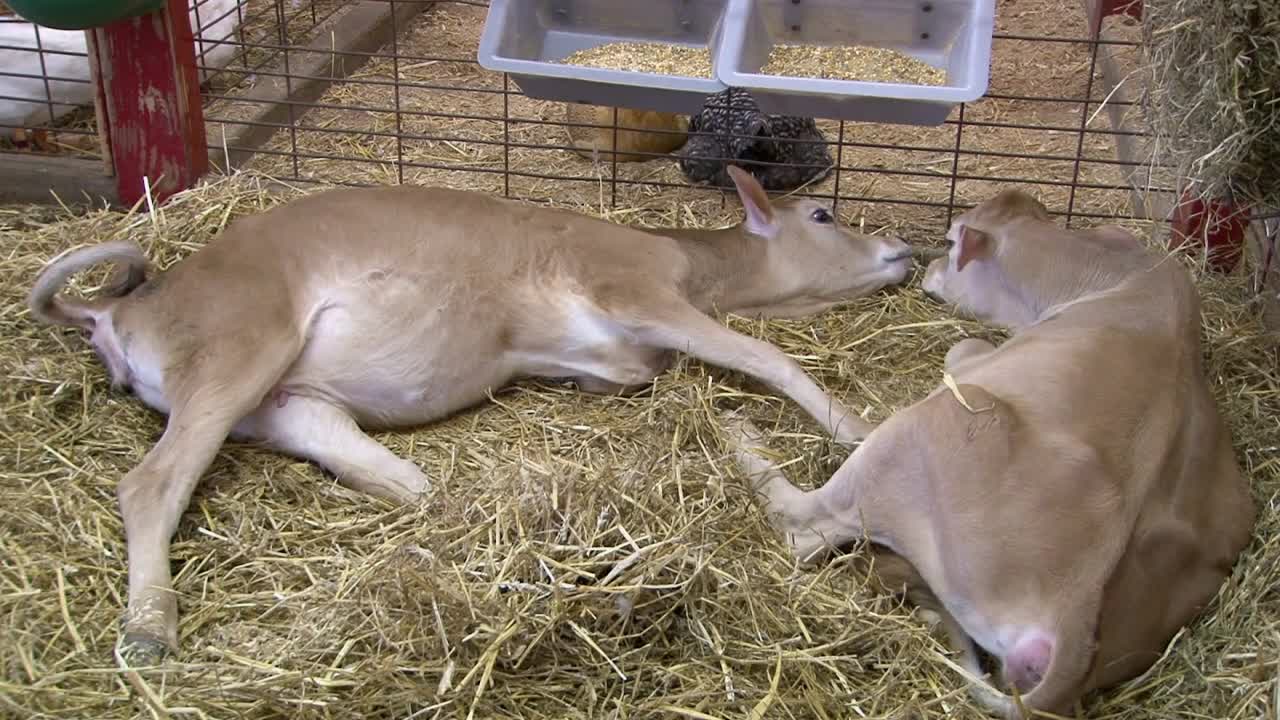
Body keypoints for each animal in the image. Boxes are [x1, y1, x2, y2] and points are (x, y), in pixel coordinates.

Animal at [27, 163, 911, 661]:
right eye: (824, 215)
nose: (903, 250)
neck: (685, 260)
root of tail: (121, 310)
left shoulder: (615, 365)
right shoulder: (634, 289)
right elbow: (767, 356)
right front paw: (854, 425)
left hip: (283, 399)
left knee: (367, 463)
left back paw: (444, 523)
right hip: (238, 347)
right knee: (150, 483)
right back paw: (149, 629)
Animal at [727, 188, 1254, 712]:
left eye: (948, 241)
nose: (929, 268)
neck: (1118, 272)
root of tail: (1079, 612)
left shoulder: (974, 361)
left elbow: (964, 345)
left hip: (924, 428)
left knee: (798, 527)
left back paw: (741, 433)